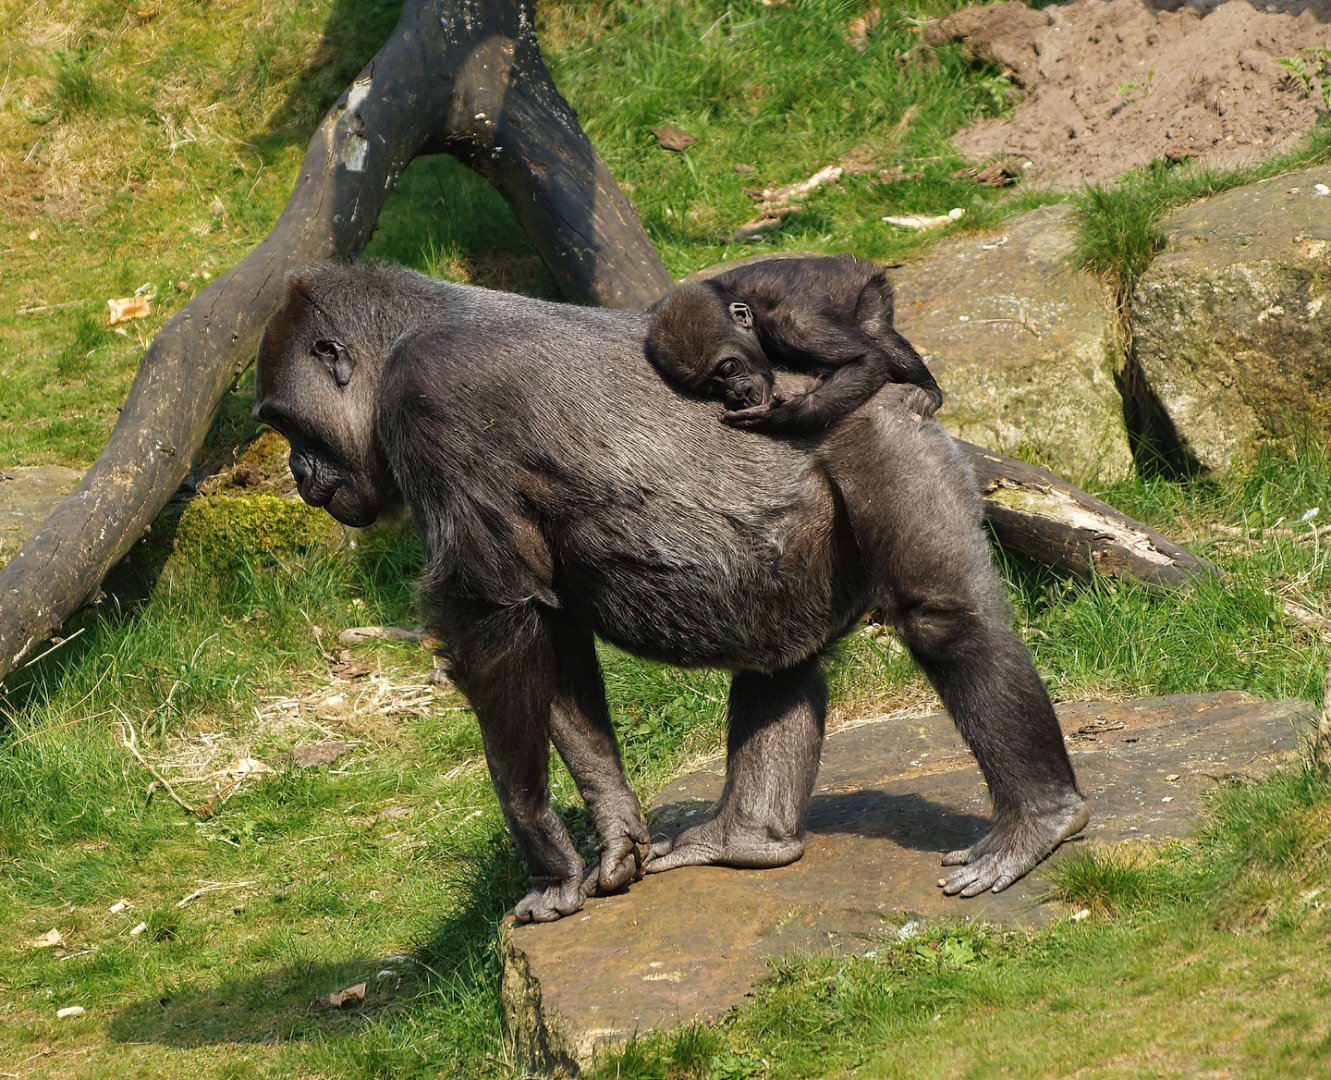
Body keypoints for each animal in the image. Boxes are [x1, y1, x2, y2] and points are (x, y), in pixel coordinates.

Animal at [645, 254, 943, 432]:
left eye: (729, 368)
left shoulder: (795, 325)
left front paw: (781, 415)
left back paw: (928, 390)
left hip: (872, 287)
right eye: (709, 387)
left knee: (875, 329)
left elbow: (865, 359)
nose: (738, 393)